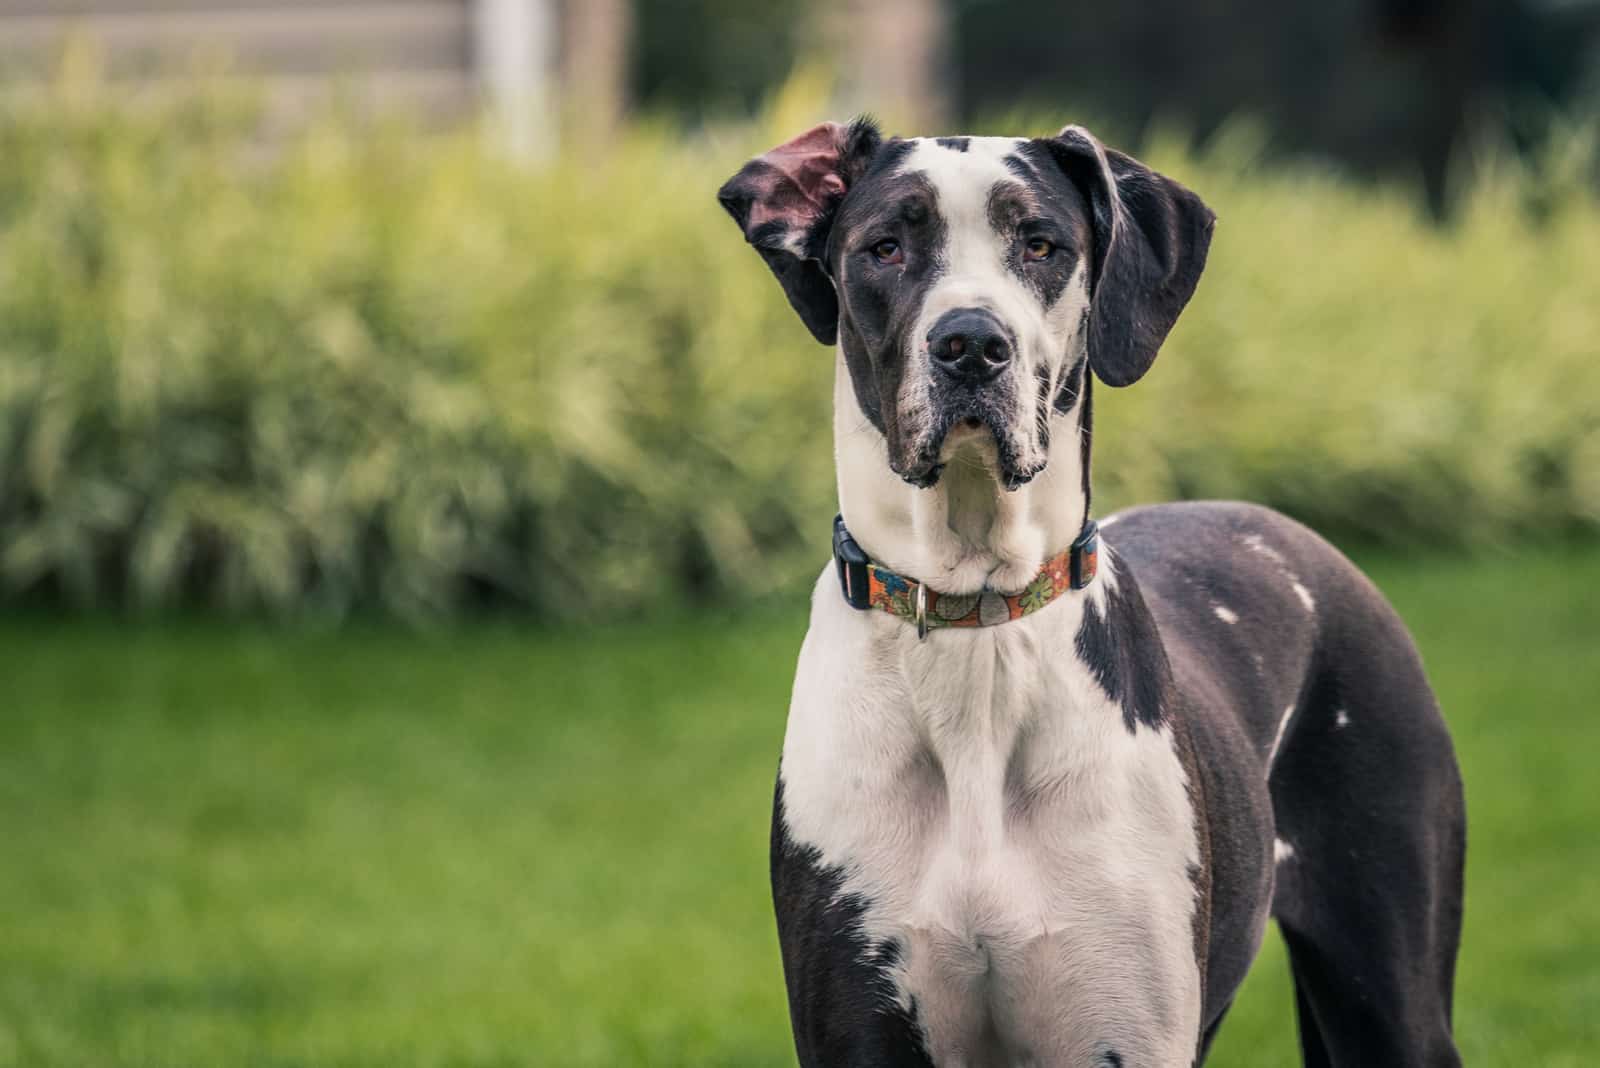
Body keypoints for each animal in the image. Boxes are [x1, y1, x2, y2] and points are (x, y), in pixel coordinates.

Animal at [720, 120, 1465, 1061]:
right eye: (885, 247)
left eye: (1042, 245)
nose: (971, 344)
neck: (976, 628)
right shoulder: (858, 1027)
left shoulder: (1126, 1029)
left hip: (1392, 990)